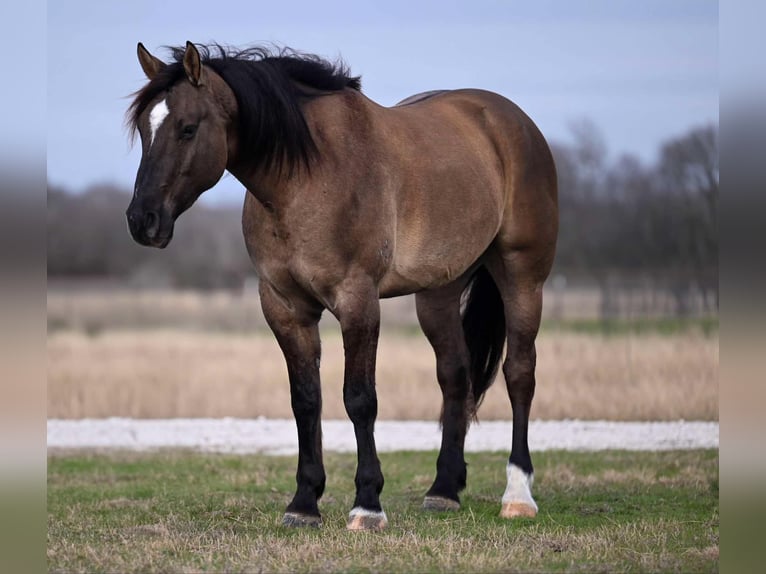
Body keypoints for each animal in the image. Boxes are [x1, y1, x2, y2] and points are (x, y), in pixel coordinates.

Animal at [126, 42, 560, 532]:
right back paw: (444, 491)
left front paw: (367, 504)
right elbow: (305, 400)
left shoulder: (358, 301)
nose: (142, 220)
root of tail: (510, 121)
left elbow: (360, 399)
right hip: (438, 293)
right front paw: (303, 503)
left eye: (187, 128)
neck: (307, 178)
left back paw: (518, 495)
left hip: (523, 277)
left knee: (519, 373)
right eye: (144, 129)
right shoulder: (285, 307)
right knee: (455, 375)